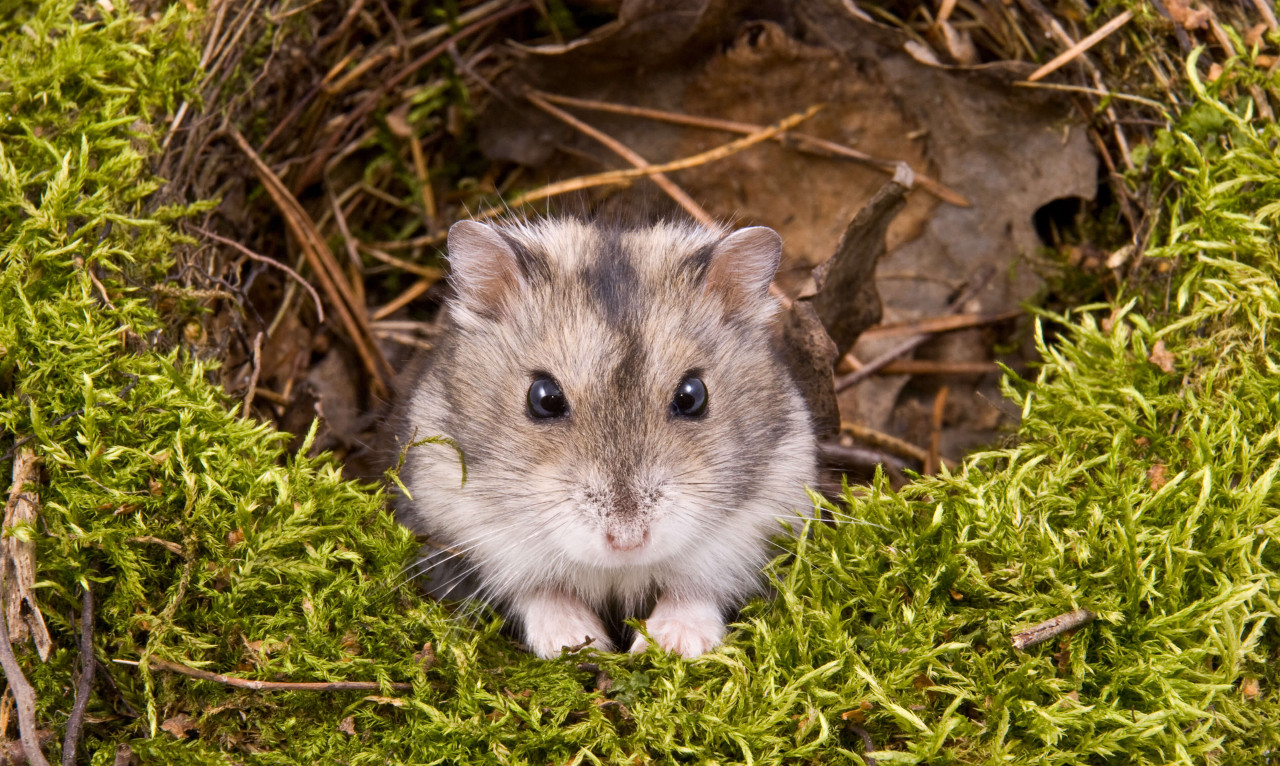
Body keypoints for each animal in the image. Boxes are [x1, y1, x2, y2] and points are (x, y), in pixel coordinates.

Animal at [394, 217, 814, 660]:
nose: (627, 542)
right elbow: (540, 591)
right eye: (543, 397)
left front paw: (671, 645)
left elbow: (695, 590)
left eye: (692, 395)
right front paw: (579, 643)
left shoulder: (757, 522)